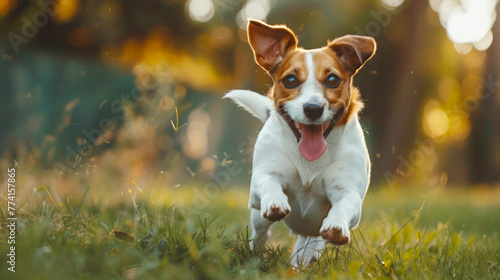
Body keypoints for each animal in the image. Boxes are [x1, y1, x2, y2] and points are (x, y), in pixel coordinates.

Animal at [224, 20, 376, 266]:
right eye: (290, 80)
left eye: (332, 79)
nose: (313, 109)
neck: (309, 162)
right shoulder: (262, 178)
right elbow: (269, 182)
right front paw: (276, 200)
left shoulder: (348, 190)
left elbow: (344, 205)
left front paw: (336, 226)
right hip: (257, 217)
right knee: (260, 233)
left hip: (311, 240)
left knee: (307, 249)